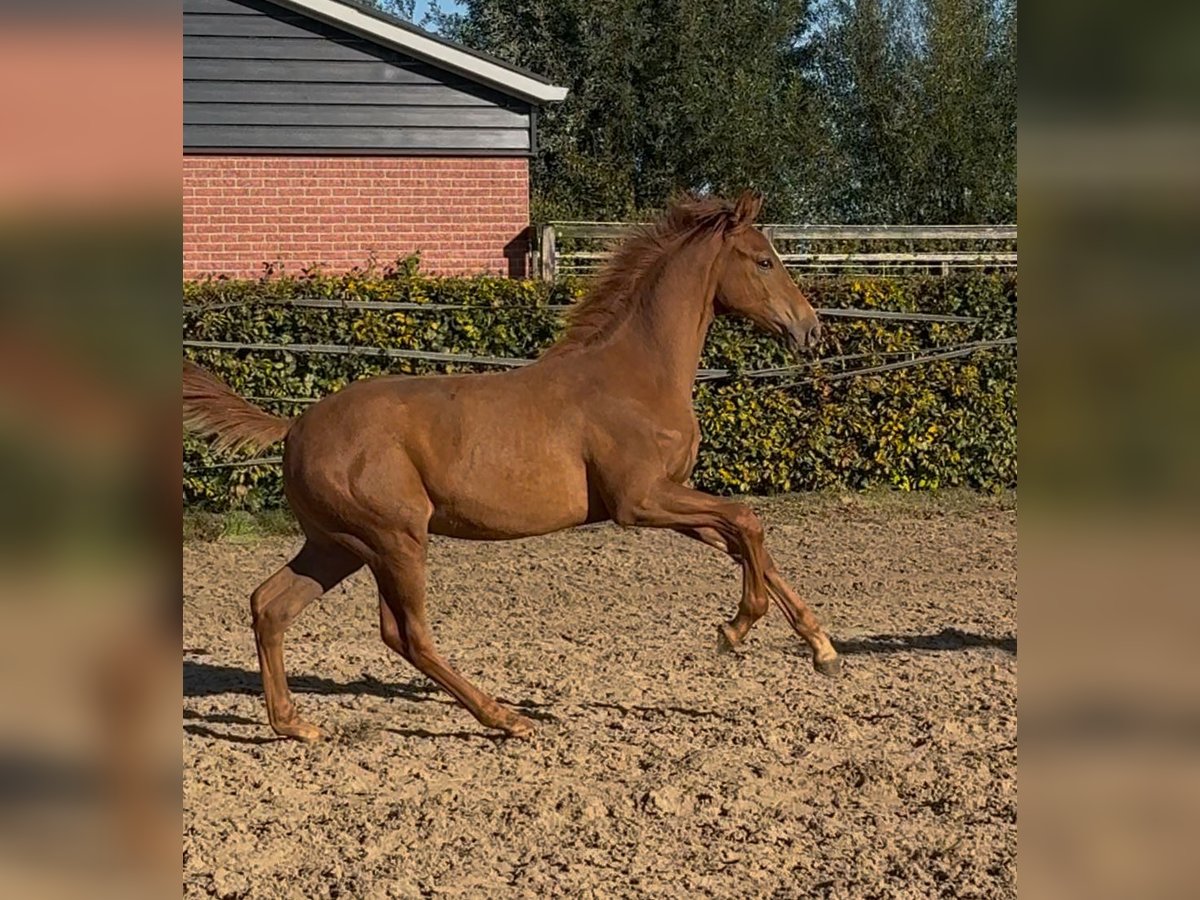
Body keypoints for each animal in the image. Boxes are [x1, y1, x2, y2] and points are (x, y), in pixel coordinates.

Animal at [187, 194, 840, 744]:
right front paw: (736, 628)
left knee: (270, 604)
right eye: (764, 260)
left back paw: (295, 725)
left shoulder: (668, 496)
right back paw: (507, 718)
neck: (636, 374)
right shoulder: (640, 501)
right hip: (395, 538)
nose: (810, 330)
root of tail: (295, 428)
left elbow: (744, 541)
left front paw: (821, 646)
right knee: (406, 633)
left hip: (337, 544)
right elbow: (748, 520)